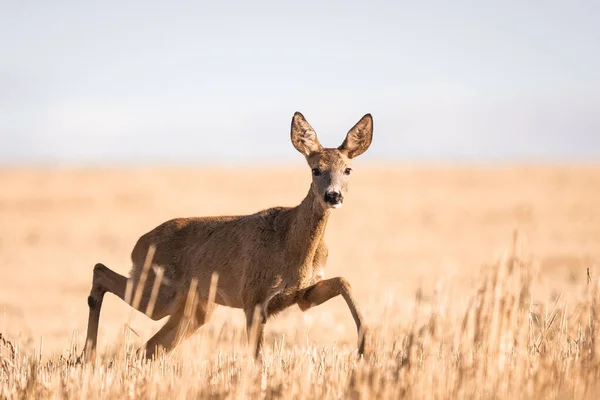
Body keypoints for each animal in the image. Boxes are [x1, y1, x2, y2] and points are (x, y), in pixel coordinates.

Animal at [83, 111, 376, 360]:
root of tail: (138, 245)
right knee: (100, 272)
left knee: (149, 347)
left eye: (348, 169)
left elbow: (344, 282)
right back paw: (87, 357)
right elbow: (257, 357)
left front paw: (366, 347)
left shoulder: (302, 295)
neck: (292, 245)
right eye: (316, 170)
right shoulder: (253, 297)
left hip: (195, 309)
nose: (332, 196)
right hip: (159, 291)